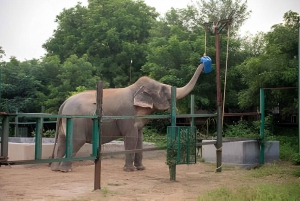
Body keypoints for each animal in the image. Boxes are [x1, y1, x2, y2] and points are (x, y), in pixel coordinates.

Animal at [51, 62, 205, 171]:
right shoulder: (127, 114)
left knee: (62, 143)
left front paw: (141, 168)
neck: (135, 89)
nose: (204, 61)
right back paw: (65, 170)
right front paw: (130, 170)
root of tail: (64, 104)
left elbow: (139, 139)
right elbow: (131, 138)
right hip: (77, 121)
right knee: (75, 142)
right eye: (164, 90)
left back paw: (55, 169)